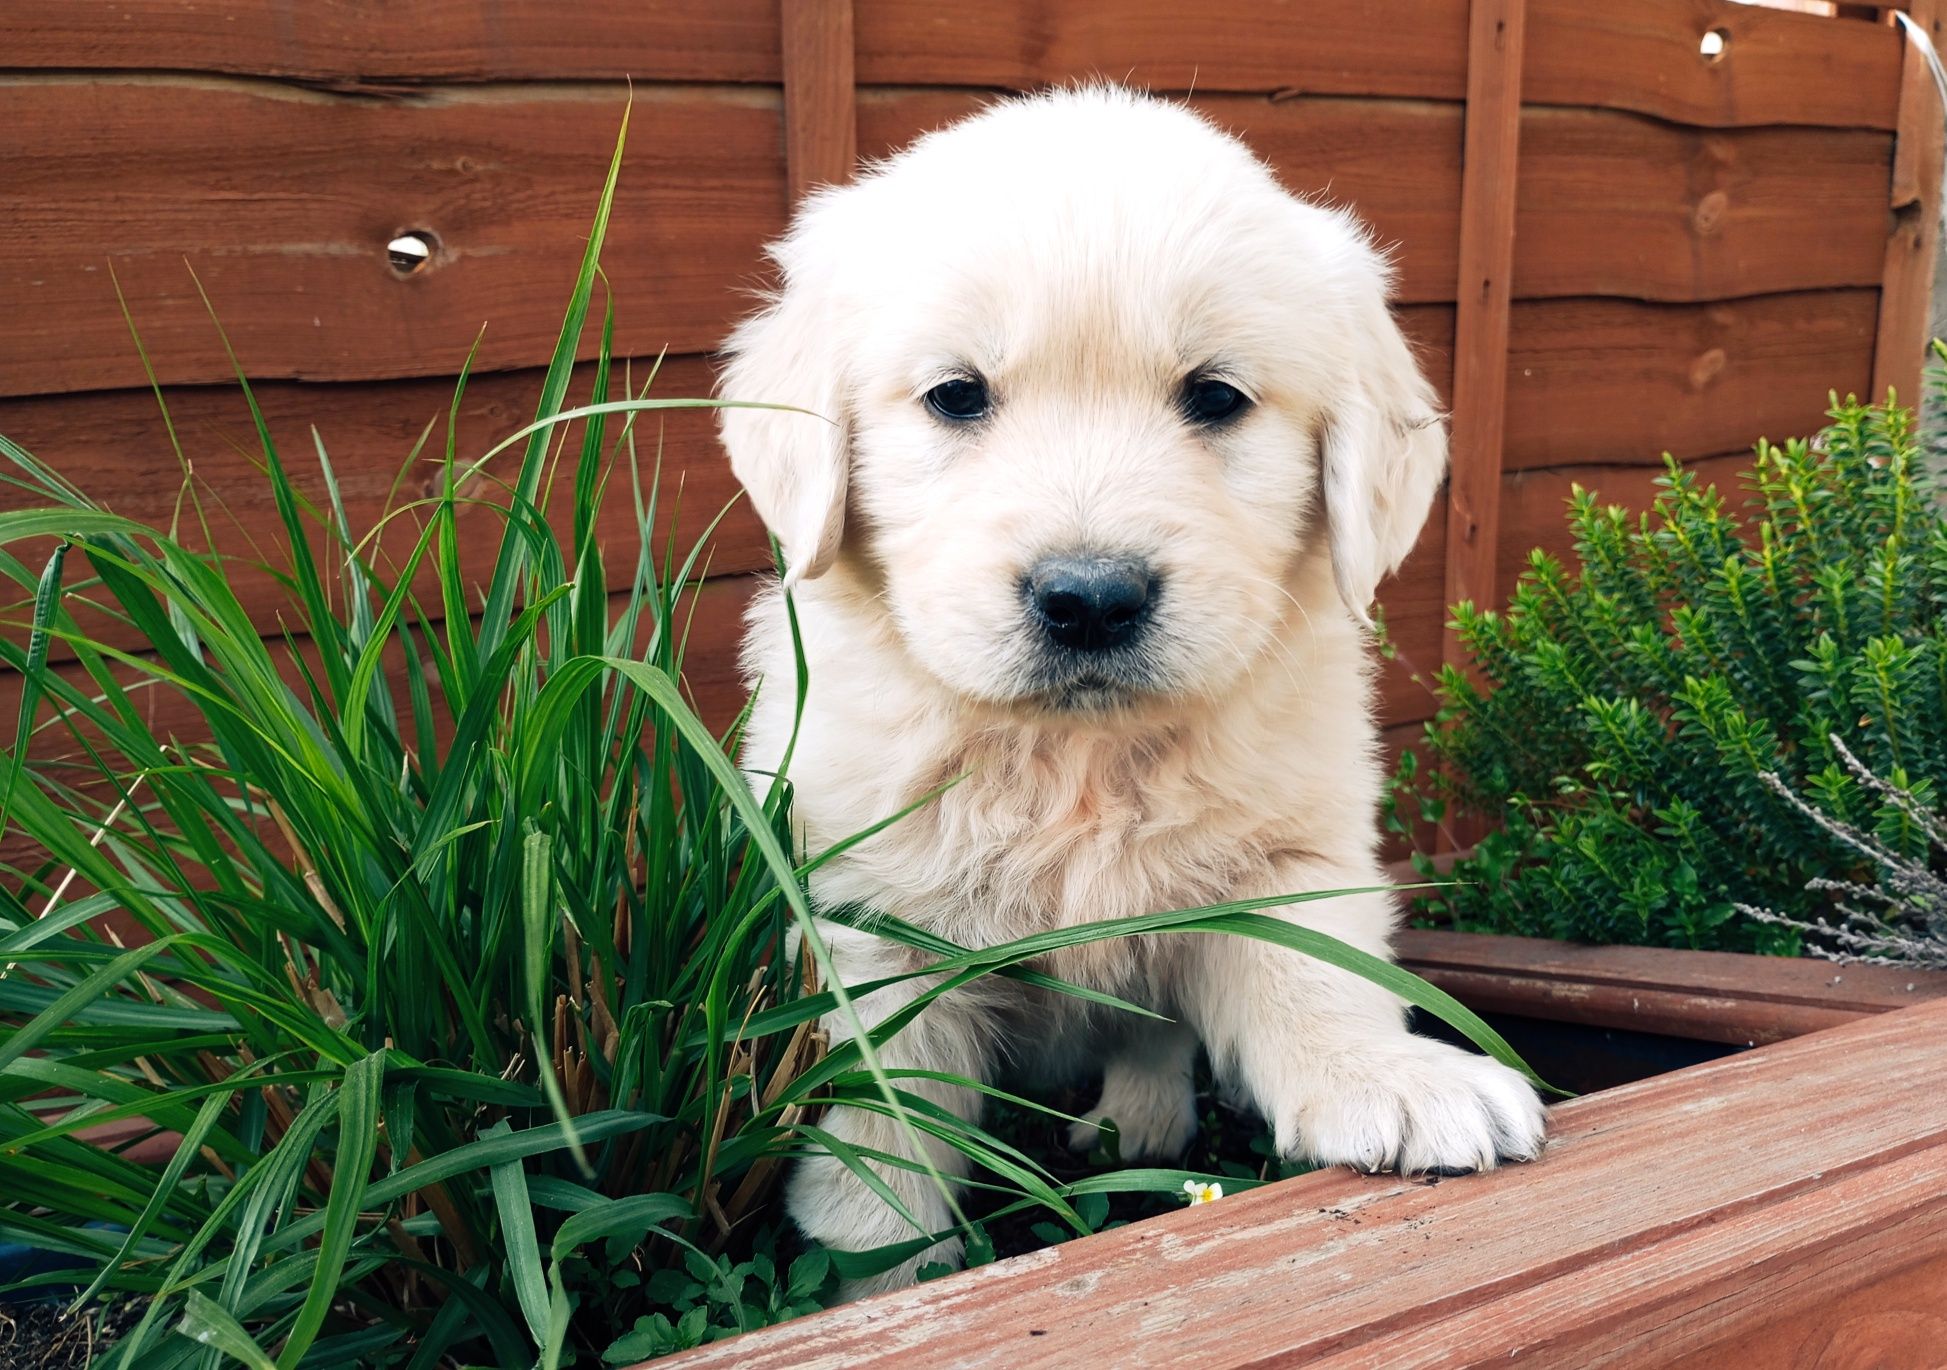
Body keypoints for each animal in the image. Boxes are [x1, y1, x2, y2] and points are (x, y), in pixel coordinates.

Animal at [720, 85, 1549, 1292]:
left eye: (1215, 397)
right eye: (956, 396)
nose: (1091, 598)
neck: (1079, 758)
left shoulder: (1288, 851)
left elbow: (1318, 973)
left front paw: (1390, 1076)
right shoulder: (867, 919)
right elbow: (887, 1141)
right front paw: (883, 1281)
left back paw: (1137, 1126)